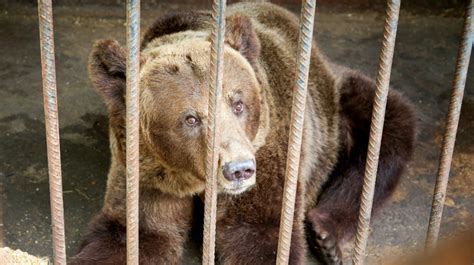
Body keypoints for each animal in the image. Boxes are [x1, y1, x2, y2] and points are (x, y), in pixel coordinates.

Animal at [70, 2, 414, 264]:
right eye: (190, 118)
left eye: (238, 104)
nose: (238, 169)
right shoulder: (147, 169)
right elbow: (138, 234)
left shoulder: (271, 152)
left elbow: (257, 232)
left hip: (335, 103)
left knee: (389, 127)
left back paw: (325, 235)